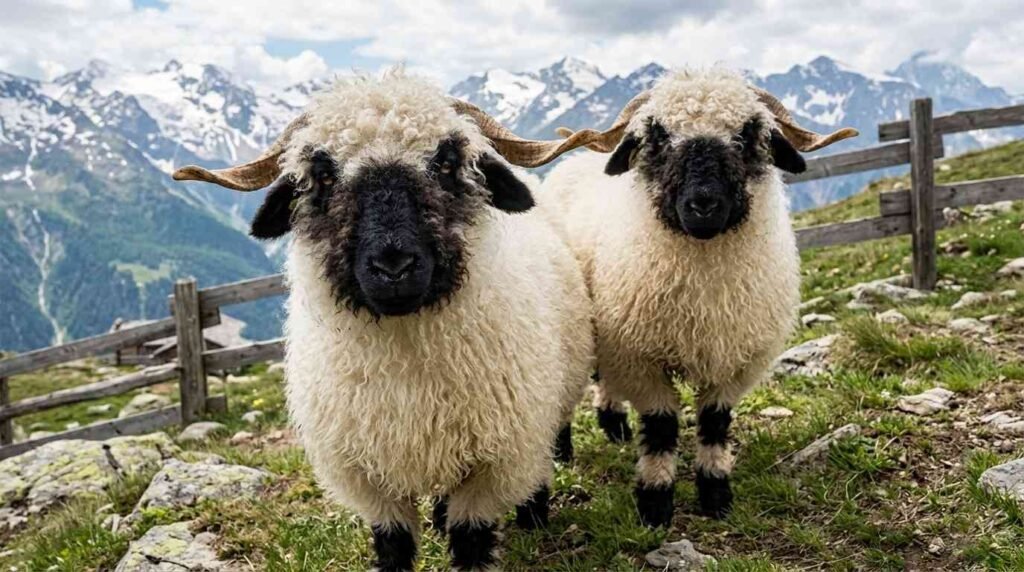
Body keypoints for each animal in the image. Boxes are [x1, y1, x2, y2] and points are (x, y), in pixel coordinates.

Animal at [172, 69, 598, 572]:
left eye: (447, 162)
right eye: (322, 174)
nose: (393, 267)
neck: (405, 363)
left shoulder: (493, 466)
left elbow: (471, 541)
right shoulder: (368, 478)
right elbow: (393, 547)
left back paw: (534, 515)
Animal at [539, 68, 857, 527]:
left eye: (747, 134)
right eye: (657, 136)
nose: (703, 205)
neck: (703, 300)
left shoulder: (736, 360)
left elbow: (713, 423)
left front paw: (715, 493)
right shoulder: (639, 357)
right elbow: (661, 427)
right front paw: (655, 502)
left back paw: (615, 427)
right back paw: (564, 449)